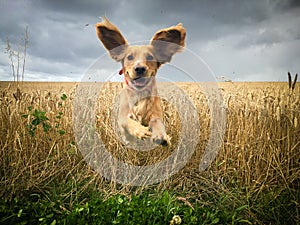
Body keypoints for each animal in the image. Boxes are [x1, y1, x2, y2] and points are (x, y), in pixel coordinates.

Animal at [95, 16, 185, 145]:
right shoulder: (122, 117)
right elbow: (127, 121)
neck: (139, 94)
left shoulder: (156, 114)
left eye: (150, 57)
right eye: (129, 57)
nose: (140, 69)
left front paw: (161, 135)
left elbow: (157, 122)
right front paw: (140, 131)